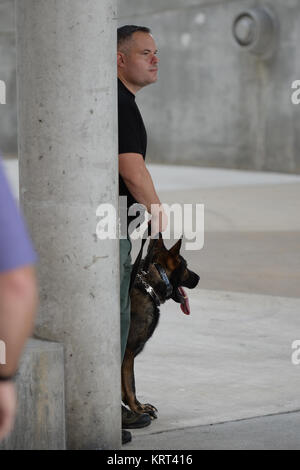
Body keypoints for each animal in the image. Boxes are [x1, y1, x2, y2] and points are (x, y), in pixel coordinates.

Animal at [120, 235, 200, 418]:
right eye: (186, 266)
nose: (199, 278)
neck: (148, 288)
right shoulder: (128, 353)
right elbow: (130, 384)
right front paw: (138, 408)